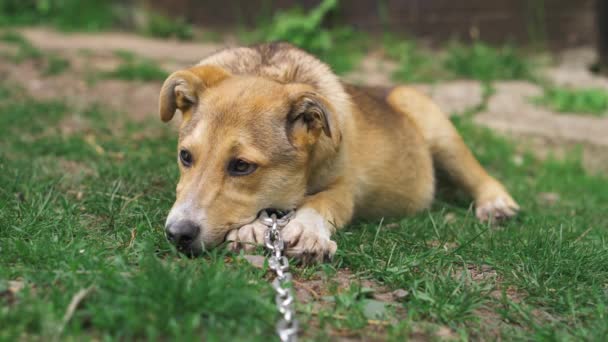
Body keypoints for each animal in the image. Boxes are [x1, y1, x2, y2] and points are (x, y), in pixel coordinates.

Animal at [158, 43, 516, 262]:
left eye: (242, 166)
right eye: (185, 157)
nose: (177, 234)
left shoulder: (345, 188)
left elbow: (322, 202)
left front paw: (306, 231)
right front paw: (252, 227)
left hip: (438, 129)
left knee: (477, 172)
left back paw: (496, 203)